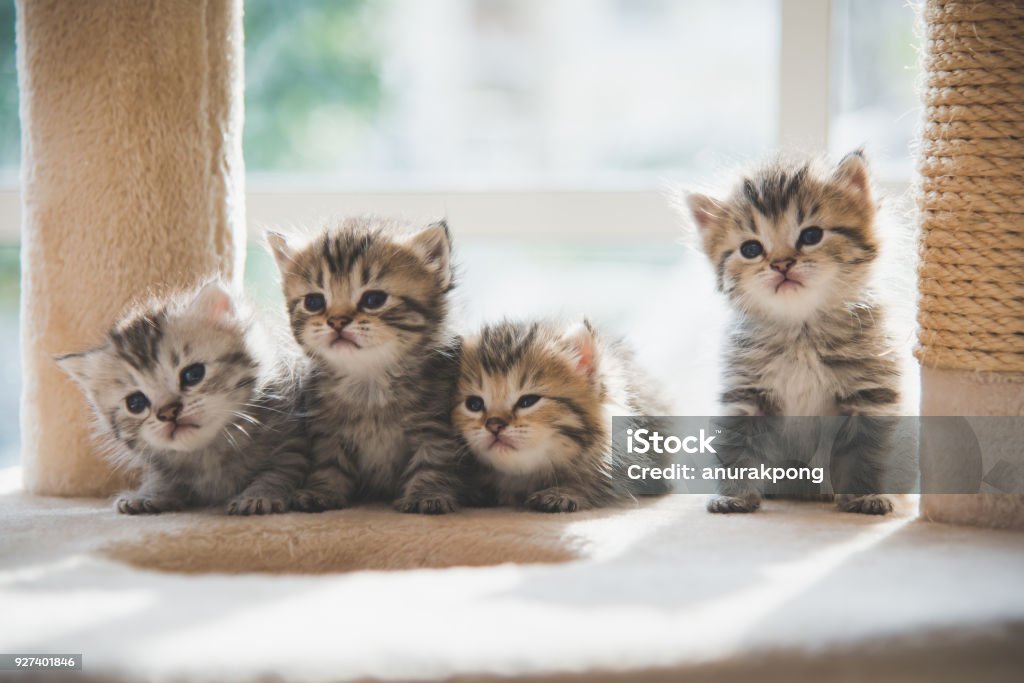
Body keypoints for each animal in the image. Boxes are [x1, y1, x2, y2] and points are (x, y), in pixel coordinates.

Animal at [56, 282, 307, 511]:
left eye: (193, 375)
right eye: (135, 403)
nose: (168, 412)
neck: (209, 453)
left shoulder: (292, 442)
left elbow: (279, 470)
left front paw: (259, 495)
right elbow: (162, 478)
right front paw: (148, 494)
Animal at [270, 216, 466, 516]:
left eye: (374, 299)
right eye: (314, 302)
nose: (337, 321)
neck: (369, 379)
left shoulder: (434, 426)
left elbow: (432, 461)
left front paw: (426, 494)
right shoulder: (327, 431)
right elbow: (329, 464)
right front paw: (321, 491)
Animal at [684, 149, 901, 511]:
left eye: (811, 236)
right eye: (751, 249)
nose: (782, 264)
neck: (800, 331)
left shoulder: (868, 394)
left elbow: (864, 453)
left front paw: (864, 494)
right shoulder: (746, 395)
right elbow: (736, 449)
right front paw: (734, 496)